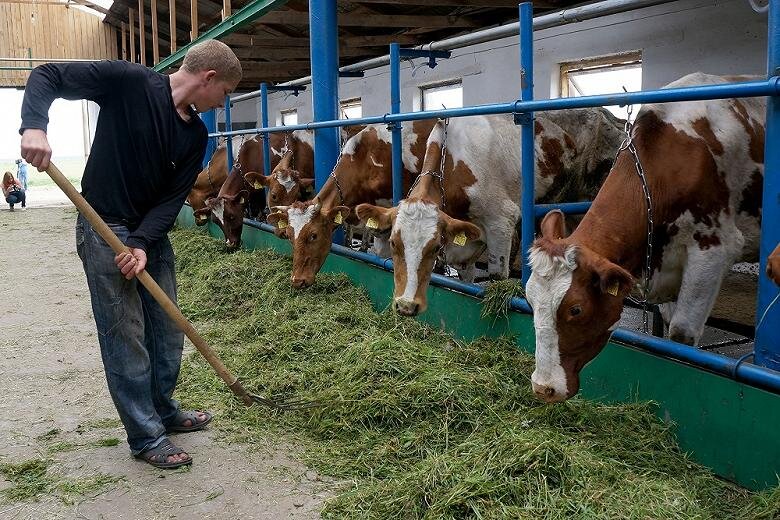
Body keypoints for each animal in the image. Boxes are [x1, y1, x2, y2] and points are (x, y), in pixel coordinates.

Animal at [356, 108, 624, 316]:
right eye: (394, 243)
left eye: (434, 246)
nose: (406, 305)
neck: (451, 163)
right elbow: (466, 280)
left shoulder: (501, 222)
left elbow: (497, 277)